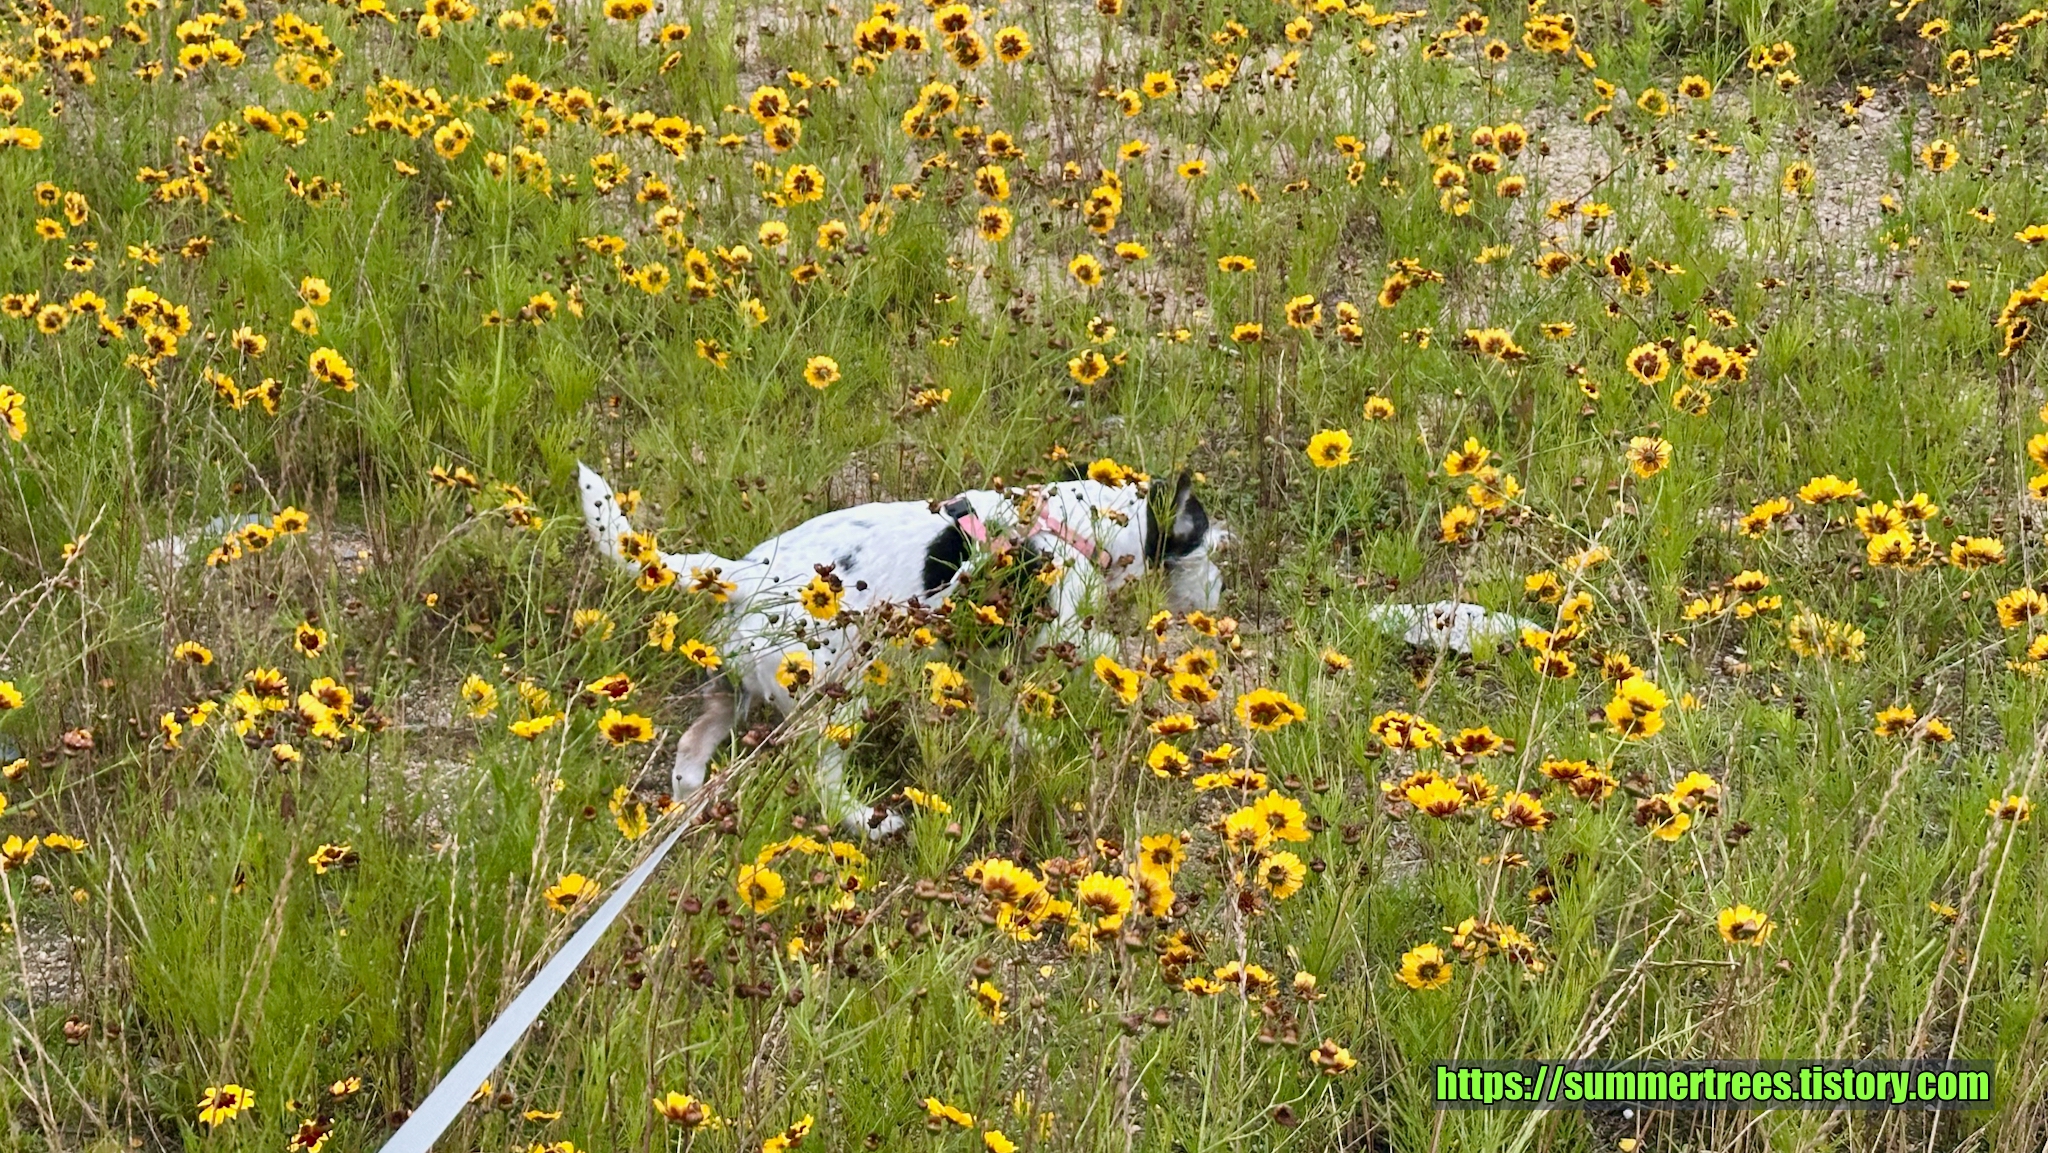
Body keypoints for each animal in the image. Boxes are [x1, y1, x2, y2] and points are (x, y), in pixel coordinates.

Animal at [577, 461, 1225, 837]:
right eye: (1199, 534)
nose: (1220, 580)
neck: (1073, 522)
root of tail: (741, 575)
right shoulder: (1061, 627)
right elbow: (1102, 645)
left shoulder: (985, 659)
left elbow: (1001, 709)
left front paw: (1027, 742)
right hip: (834, 703)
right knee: (821, 779)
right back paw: (870, 821)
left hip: (732, 693)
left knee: (691, 749)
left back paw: (688, 807)